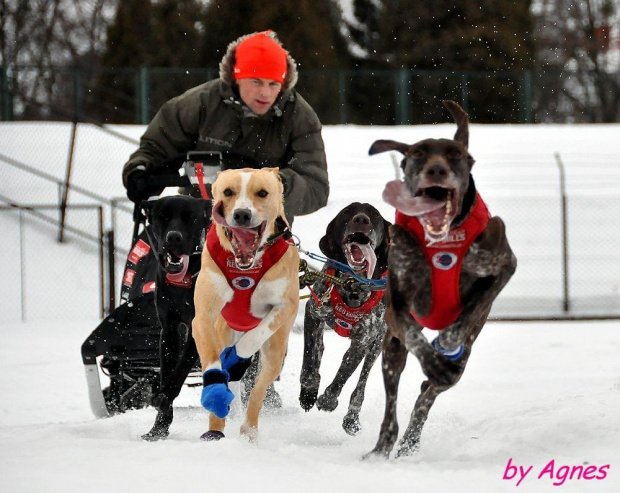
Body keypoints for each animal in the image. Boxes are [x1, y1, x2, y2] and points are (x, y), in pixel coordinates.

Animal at [140, 194, 211, 440]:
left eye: (191, 217)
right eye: (162, 217)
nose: (173, 237)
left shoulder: (197, 331)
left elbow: (179, 371)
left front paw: (163, 396)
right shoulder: (169, 329)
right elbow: (167, 369)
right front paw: (158, 428)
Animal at [366, 99, 516, 458]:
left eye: (455, 154)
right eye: (419, 153)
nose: (436, 170)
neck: (443, 241)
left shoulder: (503, 265)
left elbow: (469, 313)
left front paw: (447, 342)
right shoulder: (397, 308)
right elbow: (412, 333)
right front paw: (433, 358)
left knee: (428, 395)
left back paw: (410, 439)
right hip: (391, 351)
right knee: (394, 398)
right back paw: (383, 447)